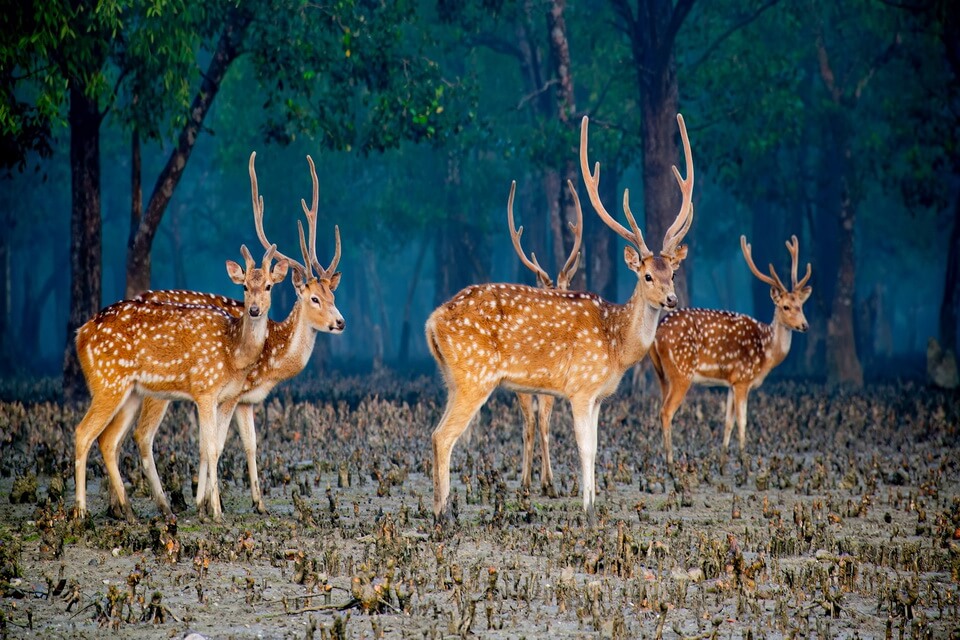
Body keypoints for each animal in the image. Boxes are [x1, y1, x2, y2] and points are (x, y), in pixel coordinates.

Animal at [74, 242, 288, 524]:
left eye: (268, 286)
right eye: (244, 286)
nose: (254, 310)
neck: (233, 353)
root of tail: (80, 334)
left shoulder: (222, 397)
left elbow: (214, 446)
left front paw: (207, 508)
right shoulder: (205, 388)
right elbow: (211, 447)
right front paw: (216, 511)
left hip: (129, 392)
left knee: (108, 440)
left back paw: (131, 512)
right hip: (108, 382)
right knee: (84, 433)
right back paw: (81, 512)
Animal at [95, 154, 344, 520]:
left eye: (333, 295)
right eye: (314, 298)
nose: (340, 322)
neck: (271, 359)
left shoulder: (247, 400)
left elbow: (250, 444)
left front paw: (258, 502)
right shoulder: (230, 394)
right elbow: (217, 443)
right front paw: (206, 502)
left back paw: (117, 505)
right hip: (156, 390)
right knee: (141, 435)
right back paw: (158, 504)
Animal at [424, 115, 692, 524]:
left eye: (672, 273)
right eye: (647, 275)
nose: (672, 299)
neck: (616, 345)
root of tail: (431, 321)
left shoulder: (598, 397)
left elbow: (596, 446)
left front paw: (593, 504)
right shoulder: (580, 387)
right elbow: (584, 448)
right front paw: (588, 510)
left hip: (452, 379)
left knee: (435, 433)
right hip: (474, 376)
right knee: (443, 436)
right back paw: (443, 515)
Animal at [648, 235, 812, 464]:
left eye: (801, 305)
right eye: (785, 306)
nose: (804, 325)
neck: (766, 353)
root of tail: (657, 333)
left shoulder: (731, 382)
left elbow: (728, 422)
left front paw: (723, 459)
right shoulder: (743, 379)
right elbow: (743, 421)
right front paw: (744, 459)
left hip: (661, 374)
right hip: (681, 372)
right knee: (666, 411)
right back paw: (670, 462)